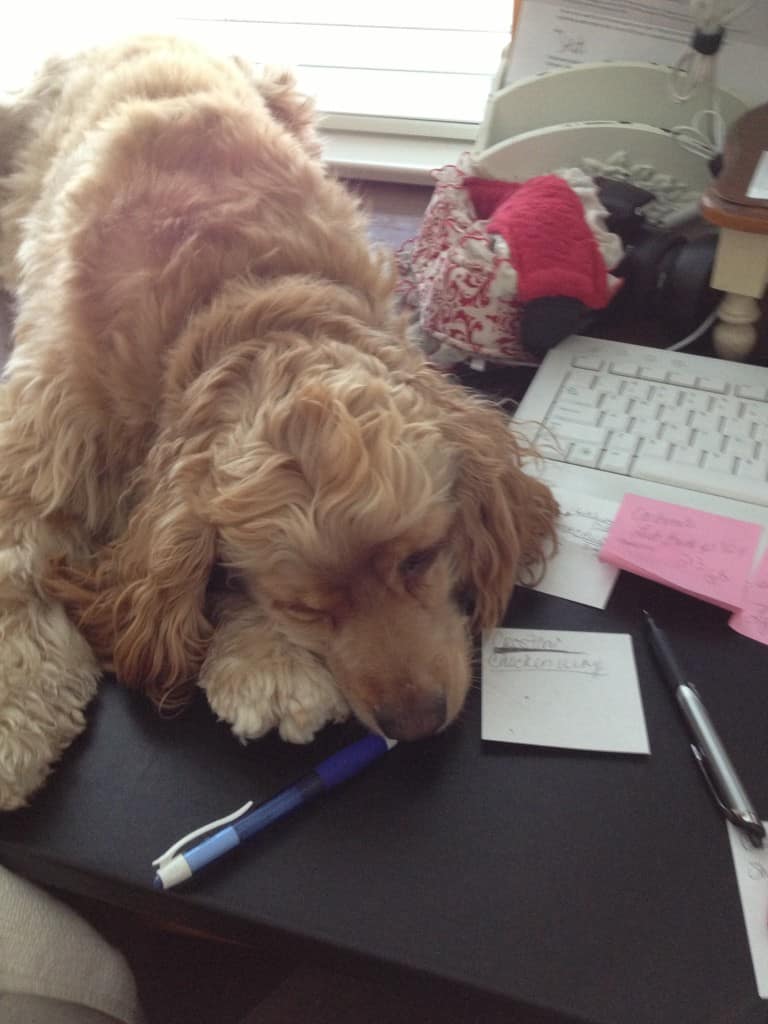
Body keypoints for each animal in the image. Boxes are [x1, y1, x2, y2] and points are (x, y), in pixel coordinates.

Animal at [0, 36, 557, 811]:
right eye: (306, 606)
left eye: (421, 559)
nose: (415, 724)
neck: (240, 298)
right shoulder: (47, 425)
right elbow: (14, 568)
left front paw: (265, 662)